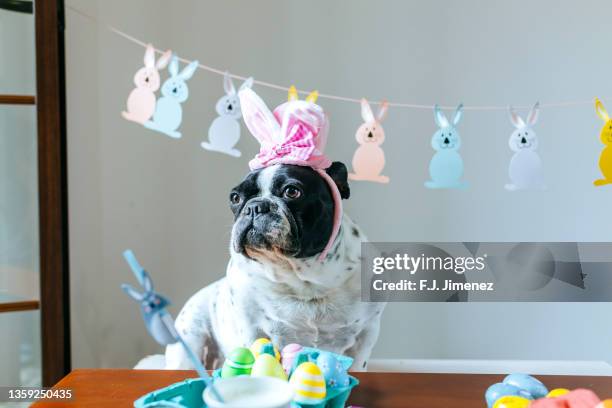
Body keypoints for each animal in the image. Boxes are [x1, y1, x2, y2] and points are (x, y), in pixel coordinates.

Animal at [163, 162, 382, 370]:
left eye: (292, 191)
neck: (304, 280)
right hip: (191, 339)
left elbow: (357, 363)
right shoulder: (252, 328)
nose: (254, 207)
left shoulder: (365, 336)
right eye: (235, 198)